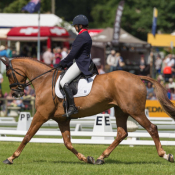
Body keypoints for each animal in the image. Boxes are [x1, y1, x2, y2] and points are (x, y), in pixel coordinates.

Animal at [0, 57, 174, 164]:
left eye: (8, 73)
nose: (15, 94)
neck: (44, 81)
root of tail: (137, 76)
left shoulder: (41, 114)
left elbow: (27, 136)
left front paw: (11, 158)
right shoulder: (62, 119)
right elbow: (68, 143)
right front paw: (86, 159)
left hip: (134, 111)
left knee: (152, 128)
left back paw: (165, 155)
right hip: (120, 110)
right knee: (122, 133)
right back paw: (100, 158)